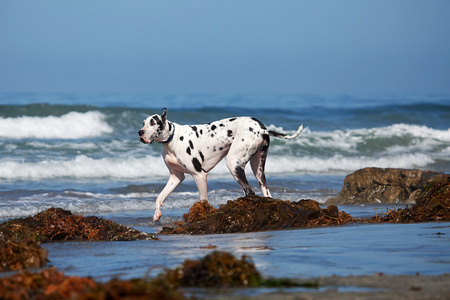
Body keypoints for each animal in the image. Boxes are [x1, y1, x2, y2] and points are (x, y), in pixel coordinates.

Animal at [139, 109, 304, 221]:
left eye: (153, 122)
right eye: (143, 123)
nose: (140, 132)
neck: (172, 139)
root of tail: (262, 128)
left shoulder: (199, 175)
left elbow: (203, 200)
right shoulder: (176, 177)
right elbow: (159, 197)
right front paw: (156, 214)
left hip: (233, 163)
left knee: (249, 191)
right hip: (258, 169)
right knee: (266, 192)